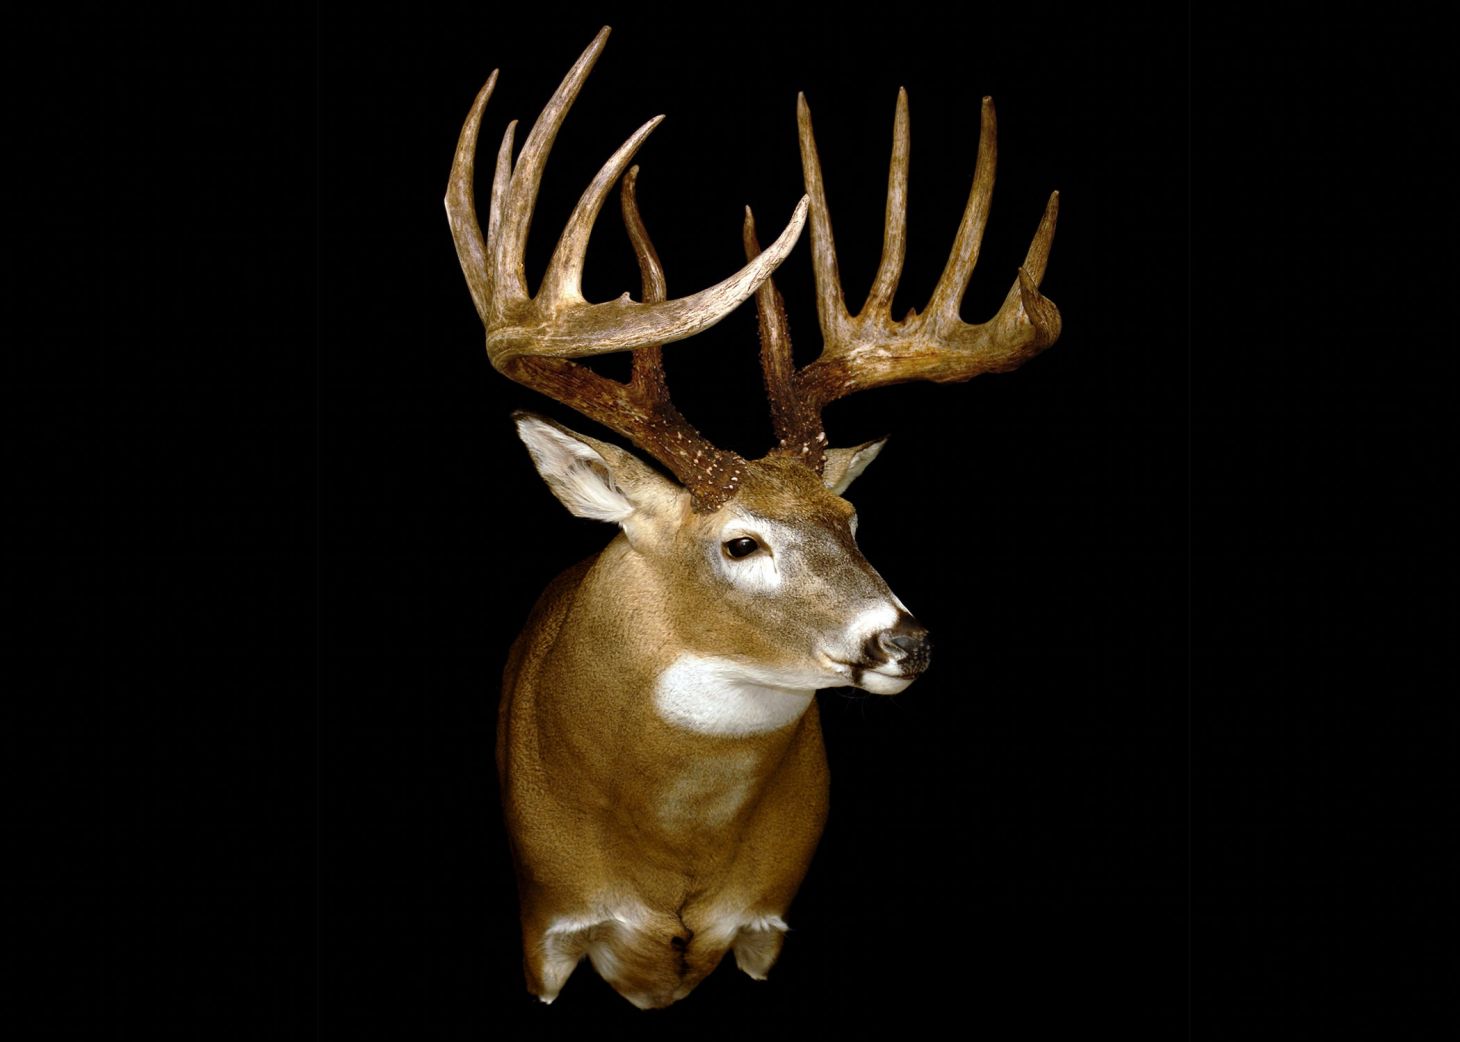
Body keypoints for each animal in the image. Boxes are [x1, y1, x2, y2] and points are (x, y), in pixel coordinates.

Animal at [445, 27, 1061, 1009]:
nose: (907, 641)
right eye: (741, 542)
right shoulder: (545, 924)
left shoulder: (766, 923)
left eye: (852, 516)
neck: (672, 858)